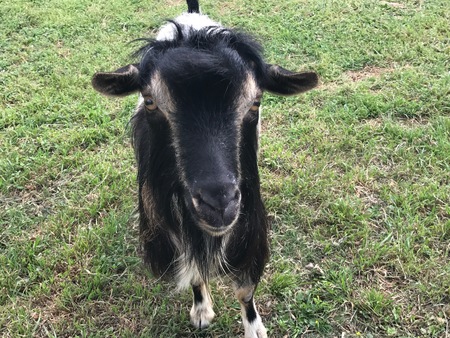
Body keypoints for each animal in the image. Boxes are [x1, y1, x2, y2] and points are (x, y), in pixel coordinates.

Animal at [90, 1, 316, 336]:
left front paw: (254, 327)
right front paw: (201, 310)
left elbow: (244, 288)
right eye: (149, 101)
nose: (218, 204)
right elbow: (194, 267)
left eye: (255, 102)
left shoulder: (247, 217)